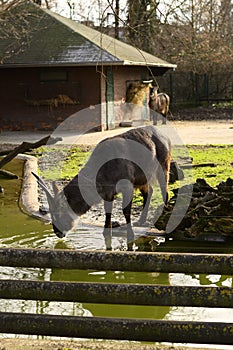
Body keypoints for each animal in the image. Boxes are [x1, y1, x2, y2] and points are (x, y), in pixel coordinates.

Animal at [33, 125, 171, 249]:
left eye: (58, 213)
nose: (57, 232)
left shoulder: (127, 186)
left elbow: (125, 210)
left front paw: (130, 235)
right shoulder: (107, 193)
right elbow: (108, 211)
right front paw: (106, 233)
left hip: (163, 166)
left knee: (165, 191)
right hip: (143, 177)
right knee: (149, 191)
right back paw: (141, 220)